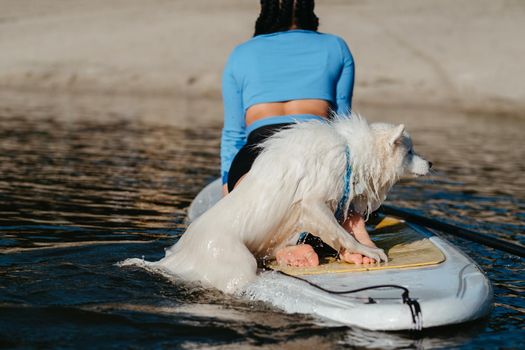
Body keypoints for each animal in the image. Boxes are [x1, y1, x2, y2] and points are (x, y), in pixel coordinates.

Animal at [122, 114, 430, 292]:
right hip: (232, 256)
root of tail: (176, 257)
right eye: (410, 151)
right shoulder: (313, 201)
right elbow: (333, 227)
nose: (431, 164)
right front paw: (365, 250)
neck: (350, 151)